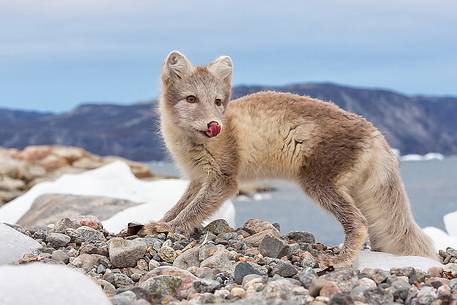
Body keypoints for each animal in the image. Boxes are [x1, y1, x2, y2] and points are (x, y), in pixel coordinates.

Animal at [141, 50, 436, 266]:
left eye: (217, 101)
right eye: (191, 99)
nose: (215, 125)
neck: (190, 143)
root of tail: (374, 132)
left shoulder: (224, 180)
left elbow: (192, 211)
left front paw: (171, 228)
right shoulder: (197, 178)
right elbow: (179, 205)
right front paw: (159, 222)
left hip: (319, 184)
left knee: (359, 222)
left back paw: (341, 260)